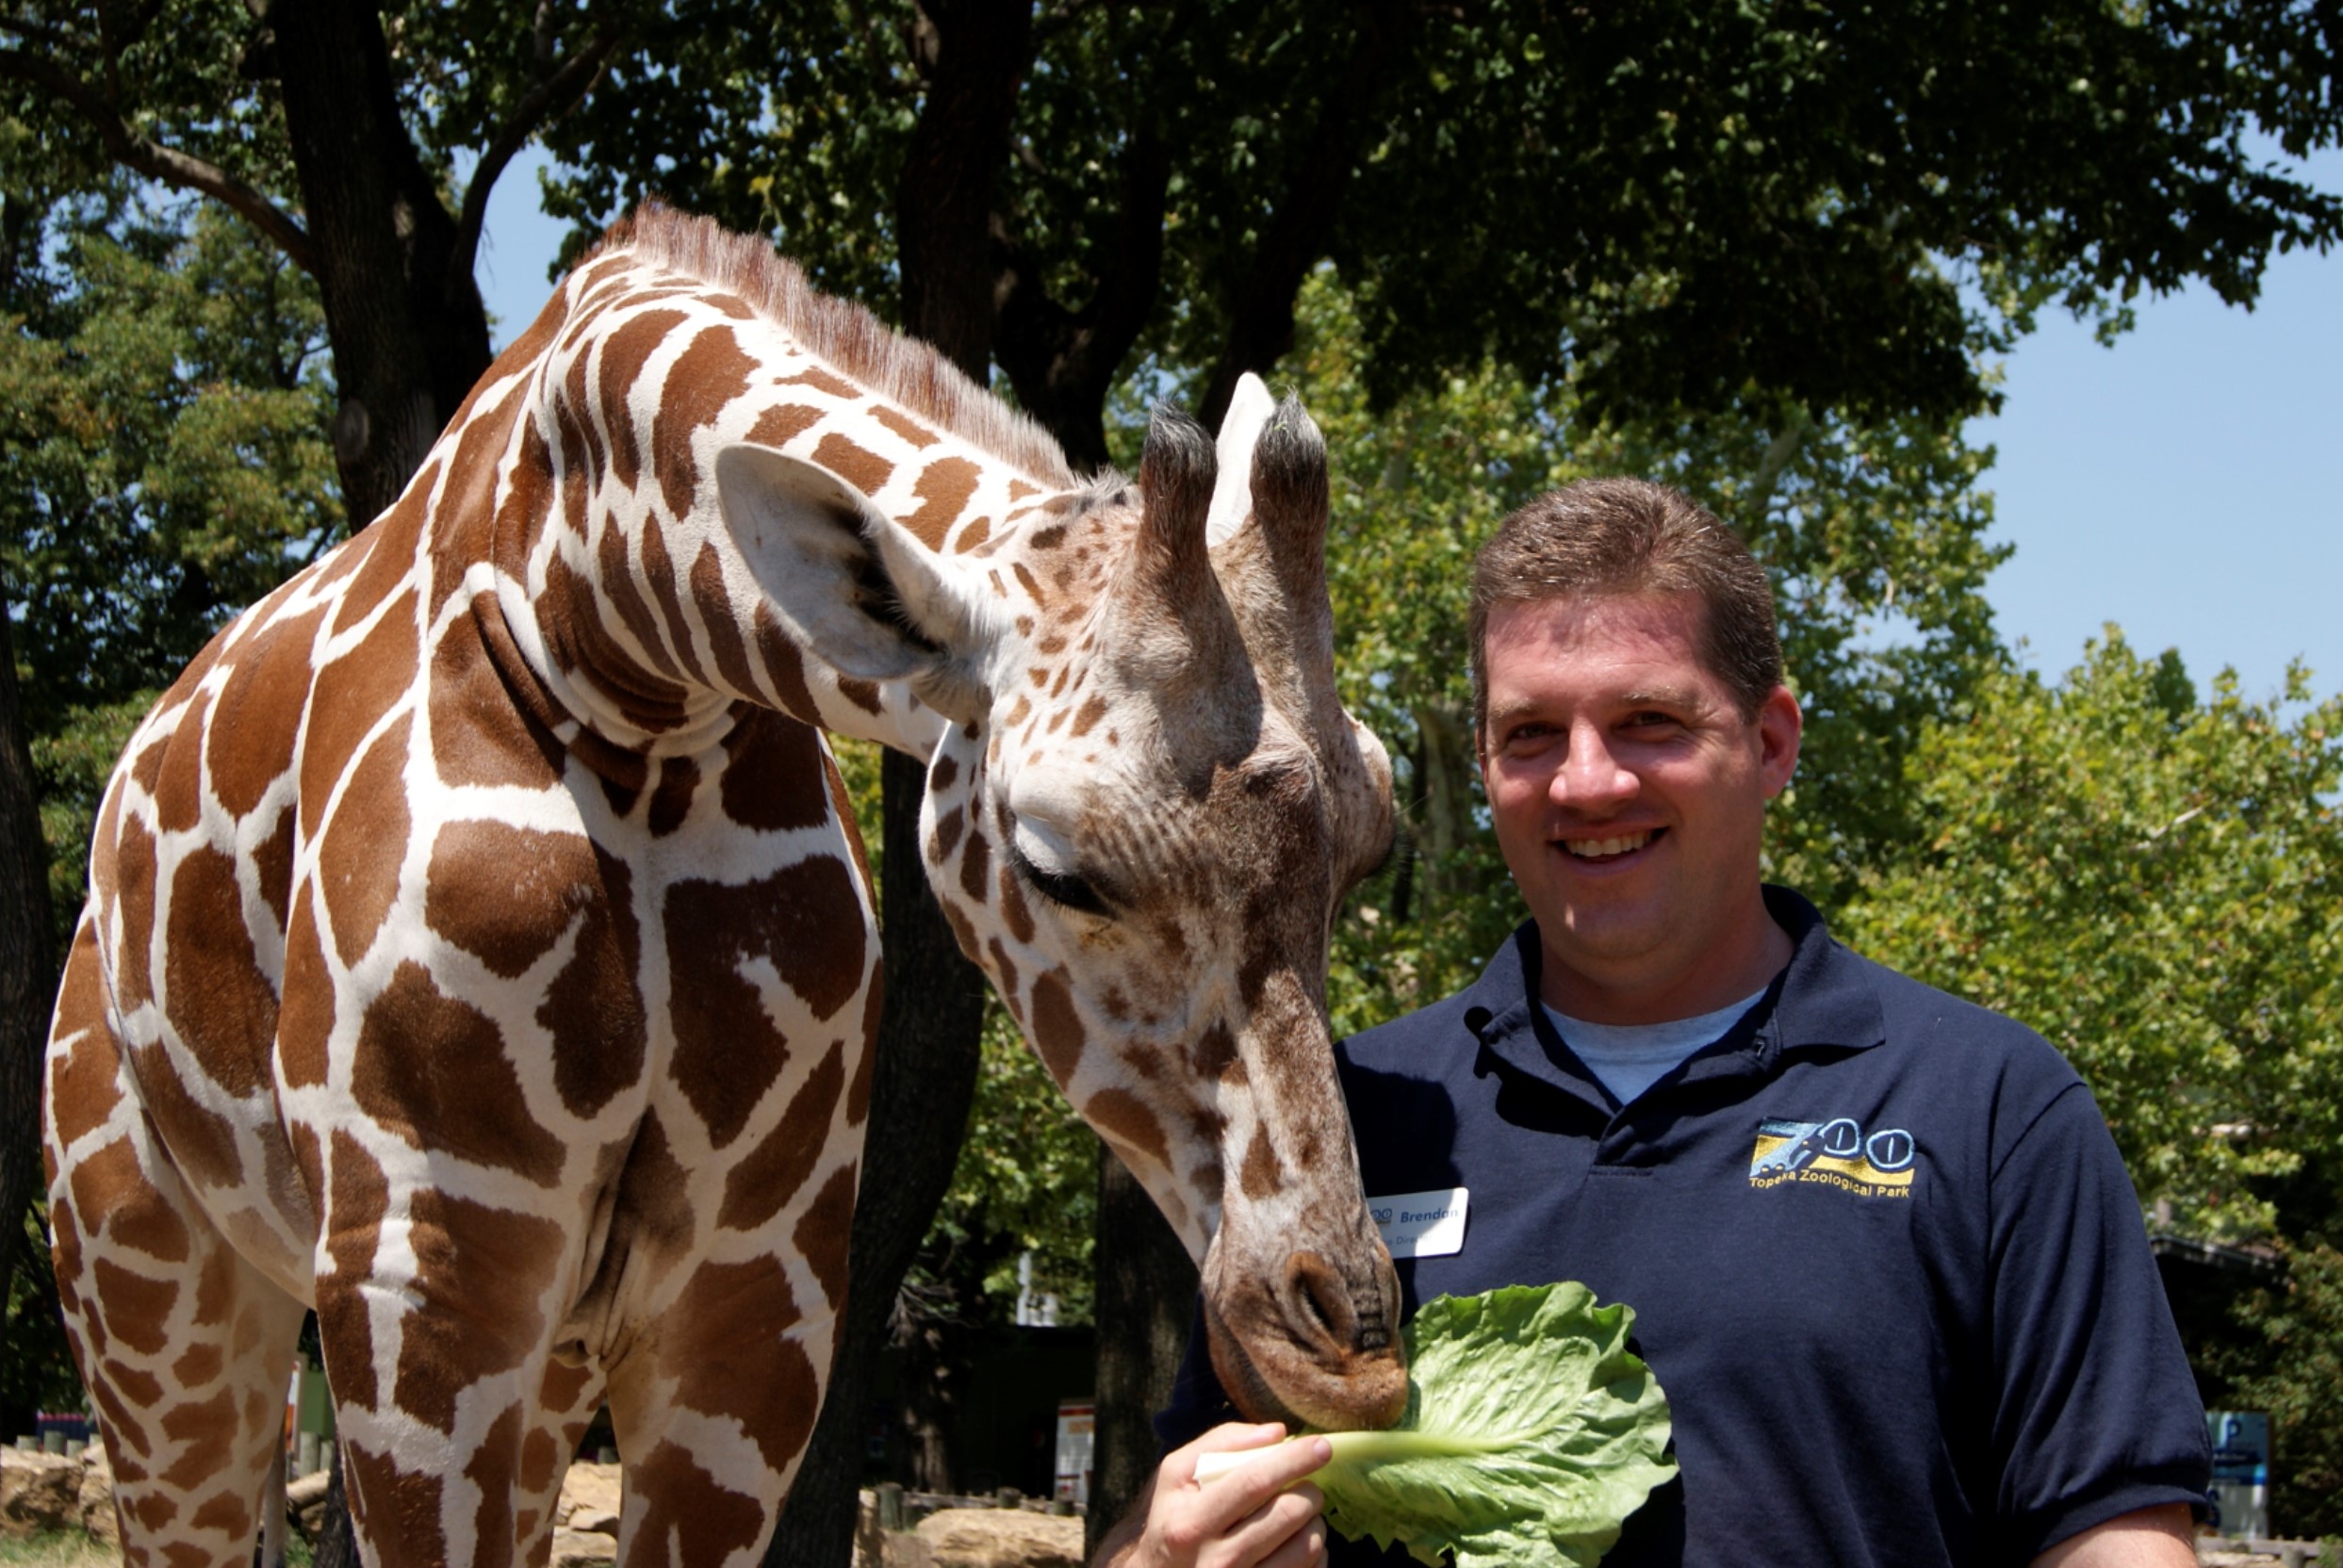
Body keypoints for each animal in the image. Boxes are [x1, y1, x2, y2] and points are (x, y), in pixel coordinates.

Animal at [41, 201, 1405, 1556]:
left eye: (1370, 837)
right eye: (1058, 869)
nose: (1348, 1348)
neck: (612, 645)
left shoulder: (757, 1296)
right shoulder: (424, 1266)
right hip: (149, 1285)